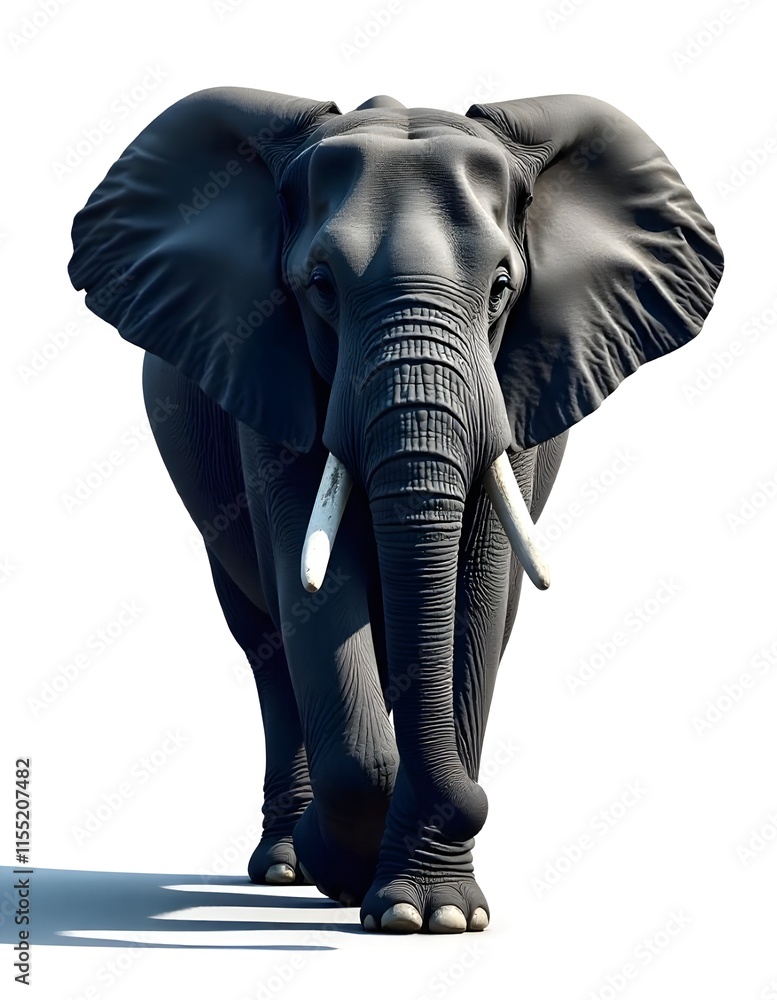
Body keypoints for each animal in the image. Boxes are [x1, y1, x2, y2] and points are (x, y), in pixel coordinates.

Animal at [68, 88, 723, 934]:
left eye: (502, 288)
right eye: (319, 285)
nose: (476, 801)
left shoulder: (513, 391)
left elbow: (481, 598)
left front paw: (433, 916)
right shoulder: (267, 369)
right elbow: (312, 589)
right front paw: (350, 877)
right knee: (264, 642)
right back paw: (286, 866)